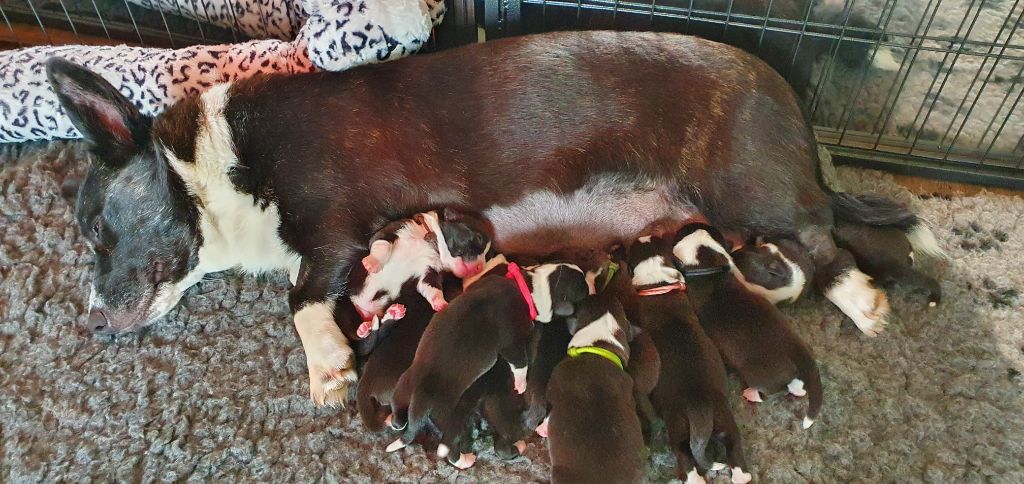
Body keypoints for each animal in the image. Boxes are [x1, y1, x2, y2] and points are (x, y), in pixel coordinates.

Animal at [46, 30, 929, 405]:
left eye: (94, 231)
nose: (89, 325)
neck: (203, 165)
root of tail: (792, 103)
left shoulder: (335, 225)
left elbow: (298, 300)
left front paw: (328, 369)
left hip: (745, 190)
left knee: (823, 243)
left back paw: (867, 301)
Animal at [385, 256, 593, 452]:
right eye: (583, 291)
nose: (592, 285)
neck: (531, 288)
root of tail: (419, 399)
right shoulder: (512, 341)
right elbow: (521, 362)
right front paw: (521, 384)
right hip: (444, 409)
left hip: (403, 386)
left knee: (398, 410)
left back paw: (394, 421)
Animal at [622, 235, 753, 482]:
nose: (643, 235)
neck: (657, 282)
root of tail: (698, 410)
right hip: (724, 418)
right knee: (734, 445)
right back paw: (742, 475)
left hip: (678, 428)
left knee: (685, 456)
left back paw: (694, 477)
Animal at [671, 223, 823, 429]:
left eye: (681, 232)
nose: (686, 224)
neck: (707, 266)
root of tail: (797, 350)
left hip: (759, 376)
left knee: (772, 391)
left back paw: (752, 394)